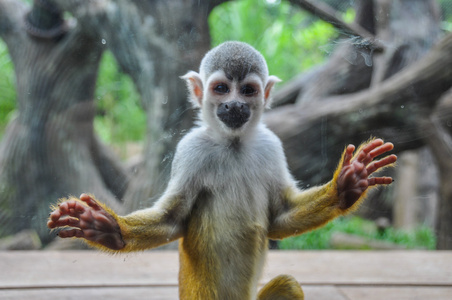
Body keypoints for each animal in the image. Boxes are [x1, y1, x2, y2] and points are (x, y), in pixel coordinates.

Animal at [47, 41, 398, 300]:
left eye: (247, 91)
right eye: (220, 88)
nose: (234, 105)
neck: (233, 143)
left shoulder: (272, 145)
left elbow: (280, 217)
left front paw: (348, 185)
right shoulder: (190, 150)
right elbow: (172, 220)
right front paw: (106, 228)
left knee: (288, 284)